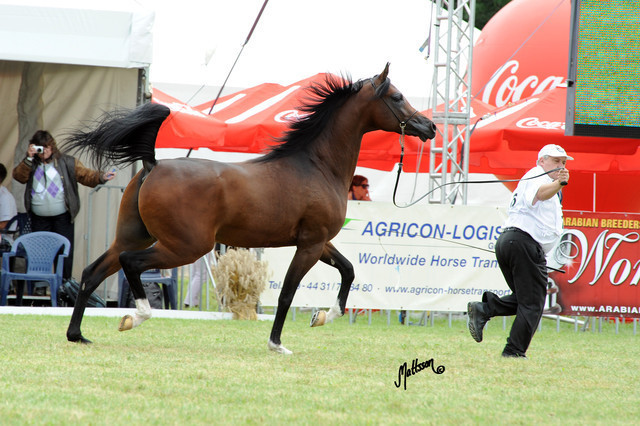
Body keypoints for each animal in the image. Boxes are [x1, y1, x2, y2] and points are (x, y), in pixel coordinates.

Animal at [64, 63, 436, 354]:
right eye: (396, 97)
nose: (429, 127)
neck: (317, 166)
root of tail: (153, 164)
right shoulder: (310, 245)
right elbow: (287, 293)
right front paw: (277, 344)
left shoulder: (320, 243)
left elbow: (348, 270)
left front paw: (321, 317)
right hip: (184, 246)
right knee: (131, 264)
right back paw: (135, 317)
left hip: (134, 237)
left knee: (92, 273)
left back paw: (77, 335)